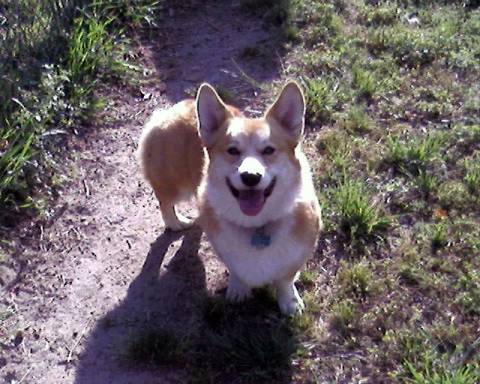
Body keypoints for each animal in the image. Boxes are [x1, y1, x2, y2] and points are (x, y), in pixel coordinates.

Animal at [139, 82, 322, 314]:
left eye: (269, 150)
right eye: (232, 150)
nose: (250, 177)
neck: (256, 227)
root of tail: (177, 107)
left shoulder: (297, 255)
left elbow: (285, 280)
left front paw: (289, 302)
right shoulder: (225, 250)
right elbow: (236, 271)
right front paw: (238, 290)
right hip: (173, 183)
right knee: (165, 201)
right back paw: (176, 222)